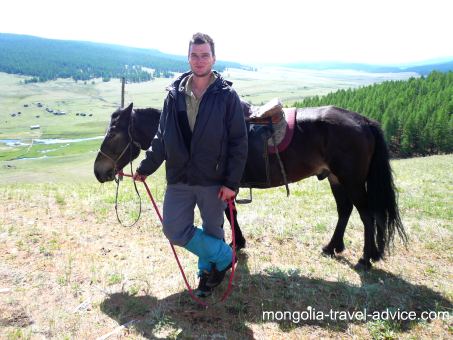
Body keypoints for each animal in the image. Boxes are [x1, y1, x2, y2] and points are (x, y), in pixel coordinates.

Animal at [94, 102, 406, 270]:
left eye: (114, 134)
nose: (99, 171)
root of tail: (363, 121)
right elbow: (230, 213)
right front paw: (237, 242)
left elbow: (226, 213)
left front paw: (235, 244)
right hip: (335, 178)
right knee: (345, 210)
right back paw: (333, 247)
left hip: (350, 179)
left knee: (366, 214)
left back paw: (366, 258)